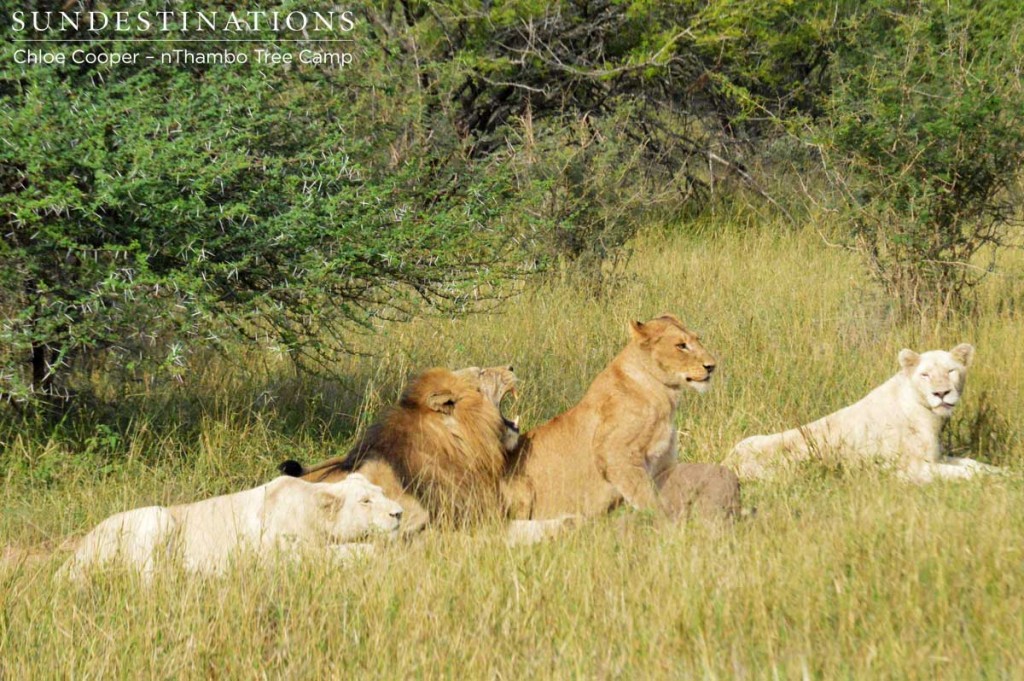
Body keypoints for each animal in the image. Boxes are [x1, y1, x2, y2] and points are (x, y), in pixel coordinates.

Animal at [58, 473, 403, 577]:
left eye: (381, 493)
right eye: (365, 501)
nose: (398, 513)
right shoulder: (278, 553)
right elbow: (349, 551)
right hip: (156, 516)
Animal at [729, 339, 999, 483]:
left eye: (951, 371)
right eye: (925, 375)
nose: (941, 393)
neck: (928, 415)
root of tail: (727, 463)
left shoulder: (936, 457)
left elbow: (972, 464)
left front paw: (1001, 471)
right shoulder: (909, 470)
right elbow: (961, 473)